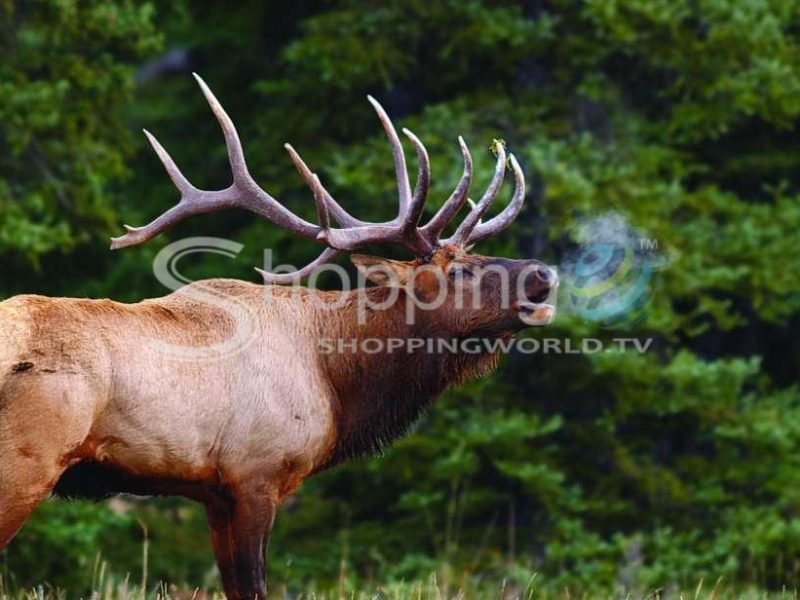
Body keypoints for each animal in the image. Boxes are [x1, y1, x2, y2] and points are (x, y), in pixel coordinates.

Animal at [0, 76, 556, 600]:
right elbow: (254, 585)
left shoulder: (214, 493)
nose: (544, 273)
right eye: (458, 270)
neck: (336, 380)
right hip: (26, 460)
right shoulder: (256, 473)